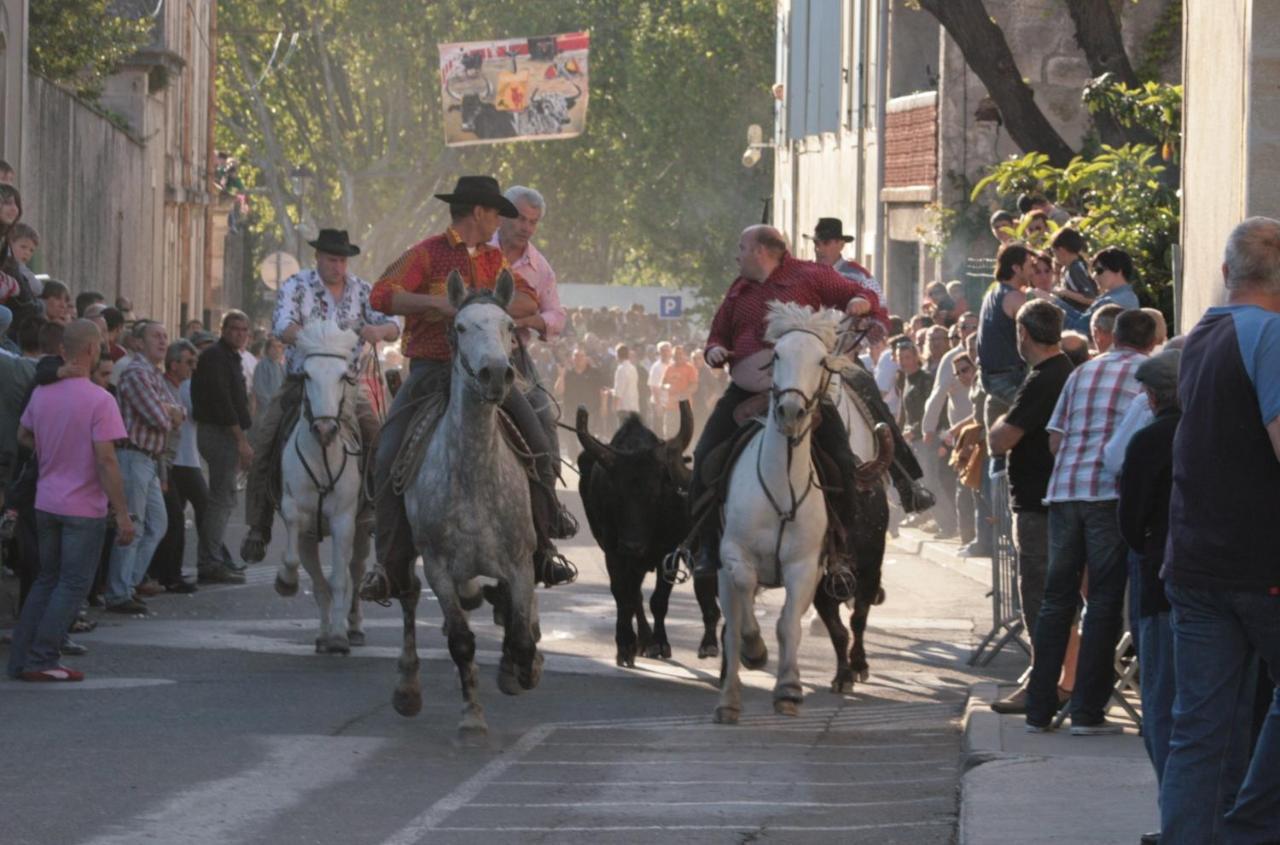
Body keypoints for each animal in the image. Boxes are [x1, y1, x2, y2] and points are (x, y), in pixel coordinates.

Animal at [272, 320, 368, 655]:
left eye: (343, 376)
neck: (323, 457)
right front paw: (286, 582)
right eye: (307, 375)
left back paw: (350, 628)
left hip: (361, 531)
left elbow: (340, 580)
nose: (325, 429)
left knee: (354, 572)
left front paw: (339, 637)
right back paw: (324, 633)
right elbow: (295, 556)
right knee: (316, 580)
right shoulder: (296, 512)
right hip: (310, 538)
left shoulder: (343, 520)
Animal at [716, 300, 855, 722]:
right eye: (776, 354)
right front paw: (753, 650)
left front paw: (789, 690)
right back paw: (731, 690)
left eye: (822, 360)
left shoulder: (804, 566)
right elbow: (743, 597)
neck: (781, 485)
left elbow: (788, 624)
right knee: (732, 618)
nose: (790, 411)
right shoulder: (734, 553)